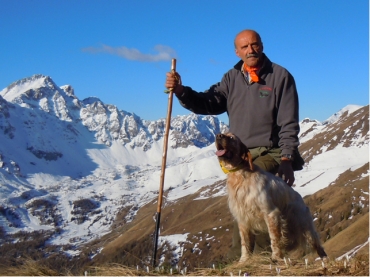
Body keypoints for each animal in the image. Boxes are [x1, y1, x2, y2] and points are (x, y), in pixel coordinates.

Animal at [215, 133, 328, 262]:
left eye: (232, 138)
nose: (218, 135)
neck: (240, 176)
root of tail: (300, 198)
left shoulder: (271, 213)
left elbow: (274, 238)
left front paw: (276, 256)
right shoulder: (243, 219)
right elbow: (245, 243)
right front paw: (243, 260)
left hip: (305, 227)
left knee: (318, 246)